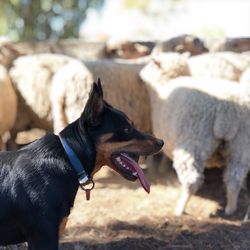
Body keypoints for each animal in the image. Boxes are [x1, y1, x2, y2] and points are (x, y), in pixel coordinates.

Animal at [140, 54, 250, 215]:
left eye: (151, 63)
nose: (140, 74)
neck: (167, 82)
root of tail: (227, 109)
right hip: (241, 144)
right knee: (234, 178)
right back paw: (230, 208)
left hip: (193, 142)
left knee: (192, 180)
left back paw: (180, 207)